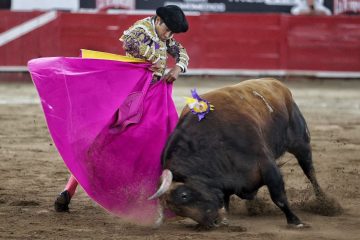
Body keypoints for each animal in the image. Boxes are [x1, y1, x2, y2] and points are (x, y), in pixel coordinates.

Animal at [149, 79, 334, 229]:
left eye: (184, 195)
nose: (212, 222)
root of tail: (278, 85)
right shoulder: (224, 178)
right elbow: (225, 199)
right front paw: (226, 220)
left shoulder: (266, 164)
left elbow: (279, 196)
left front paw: (295, 221)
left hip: (301, 143)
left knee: (310, 171)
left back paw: (325, 202)